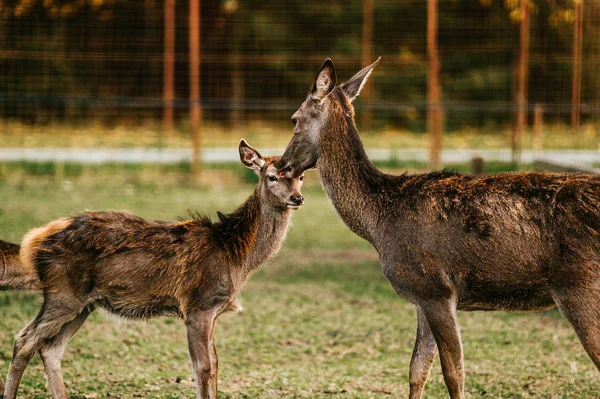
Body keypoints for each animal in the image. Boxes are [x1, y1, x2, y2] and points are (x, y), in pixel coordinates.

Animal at [1, 141, 304, 399]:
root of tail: (33, 241)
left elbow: (216, 365)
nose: (297, 198)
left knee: (50, 349)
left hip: (84, 304)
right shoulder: (198, 305)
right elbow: (202, 368)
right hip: (63, 294)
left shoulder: (214, 311)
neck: (235, 255)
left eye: (300, 177)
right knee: (24, 341)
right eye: (272, 176)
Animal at [278, 57, 600, 398]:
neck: (379, 223)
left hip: (579, 283)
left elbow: (453, 373)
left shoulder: (435, 288)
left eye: (294, 118)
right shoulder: (422, 296)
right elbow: (417, 369)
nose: (283, 166)